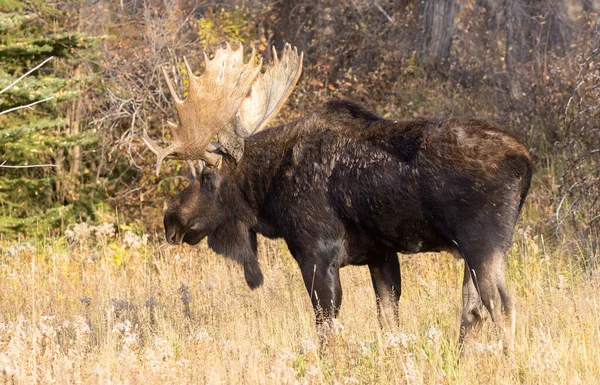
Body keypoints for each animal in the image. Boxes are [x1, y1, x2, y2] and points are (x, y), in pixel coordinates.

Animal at [143, 42, 532, 348]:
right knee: (472, 311)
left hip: (483, 243)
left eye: (207, 176)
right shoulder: (381, 254)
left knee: (502, 307)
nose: (170, 219)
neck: (268, 192)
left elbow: (326, 331)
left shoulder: (317, 253)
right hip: (470, 251)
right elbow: (389, 324)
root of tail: (525, 162)